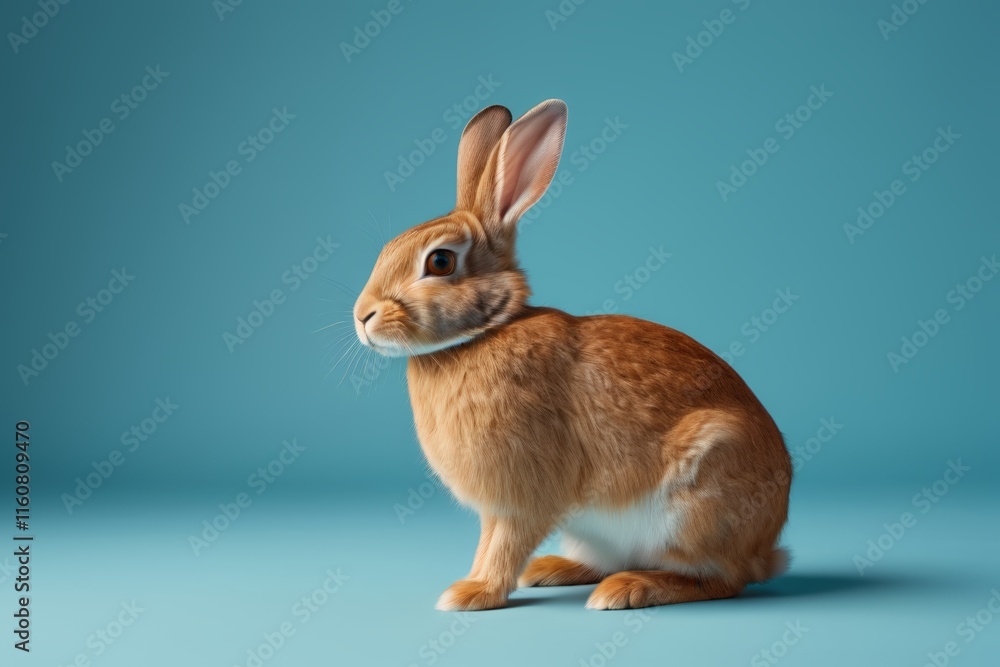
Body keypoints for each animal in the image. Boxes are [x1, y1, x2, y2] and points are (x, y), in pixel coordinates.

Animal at [353, 99, 791, 611]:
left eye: (440, 262)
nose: (362, 317)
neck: (481, 335)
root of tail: (765, 549)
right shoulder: (497, 509)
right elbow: (487, 543)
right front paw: (474, 584)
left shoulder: (523, 499)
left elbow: (503, 545)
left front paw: (471, 594)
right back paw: (554, 570)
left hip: (698, 499)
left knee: (722, 580)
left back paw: (627, 589)